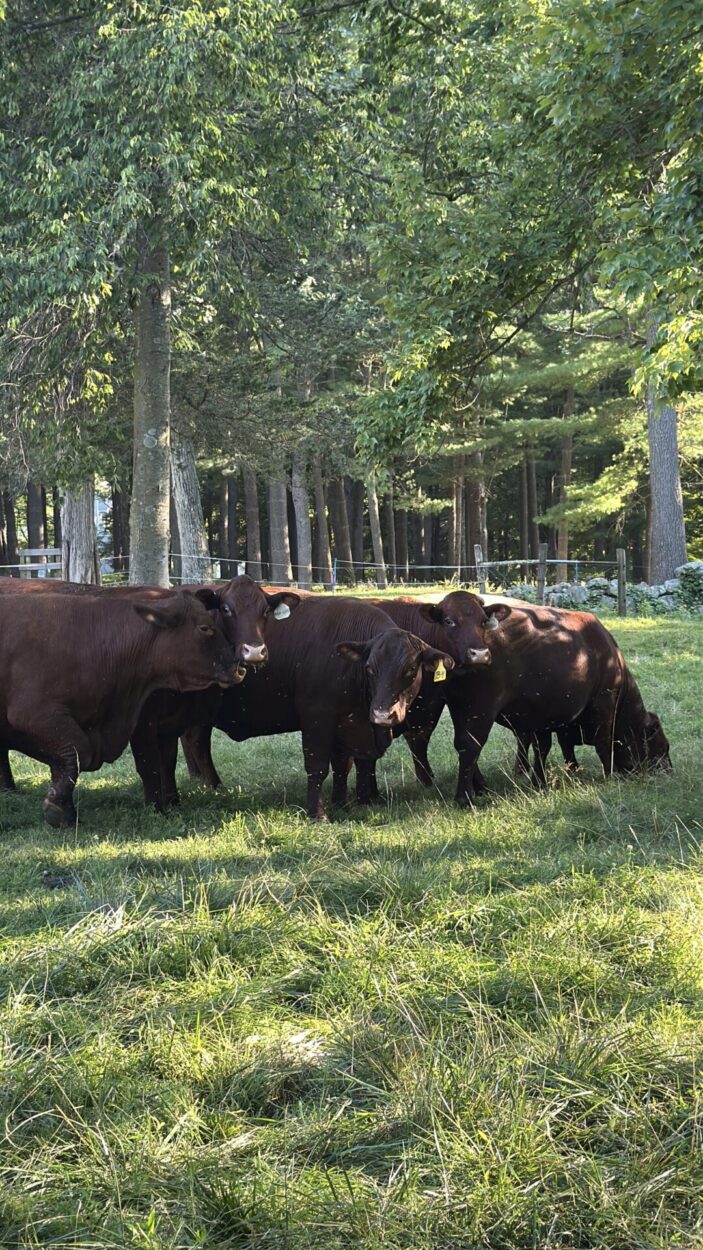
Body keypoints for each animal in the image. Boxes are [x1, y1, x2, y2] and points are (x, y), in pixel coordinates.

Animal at [0, 589, 241, 826]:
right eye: (204, 627)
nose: (239, 668)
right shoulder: (35, 715)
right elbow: (77, 751)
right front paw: (57, 807)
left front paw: (67, 814)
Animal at [180, 596, 453, 819]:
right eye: (370, 668)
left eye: (410, 669)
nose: (383, 714)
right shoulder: (317, 718)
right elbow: (318, 767)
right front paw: (317, 813)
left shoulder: (346, 721)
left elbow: (343, 765)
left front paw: (342, 803)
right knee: (196, 743)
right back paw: (214, 787)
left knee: (195, 741)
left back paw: (211, 786)